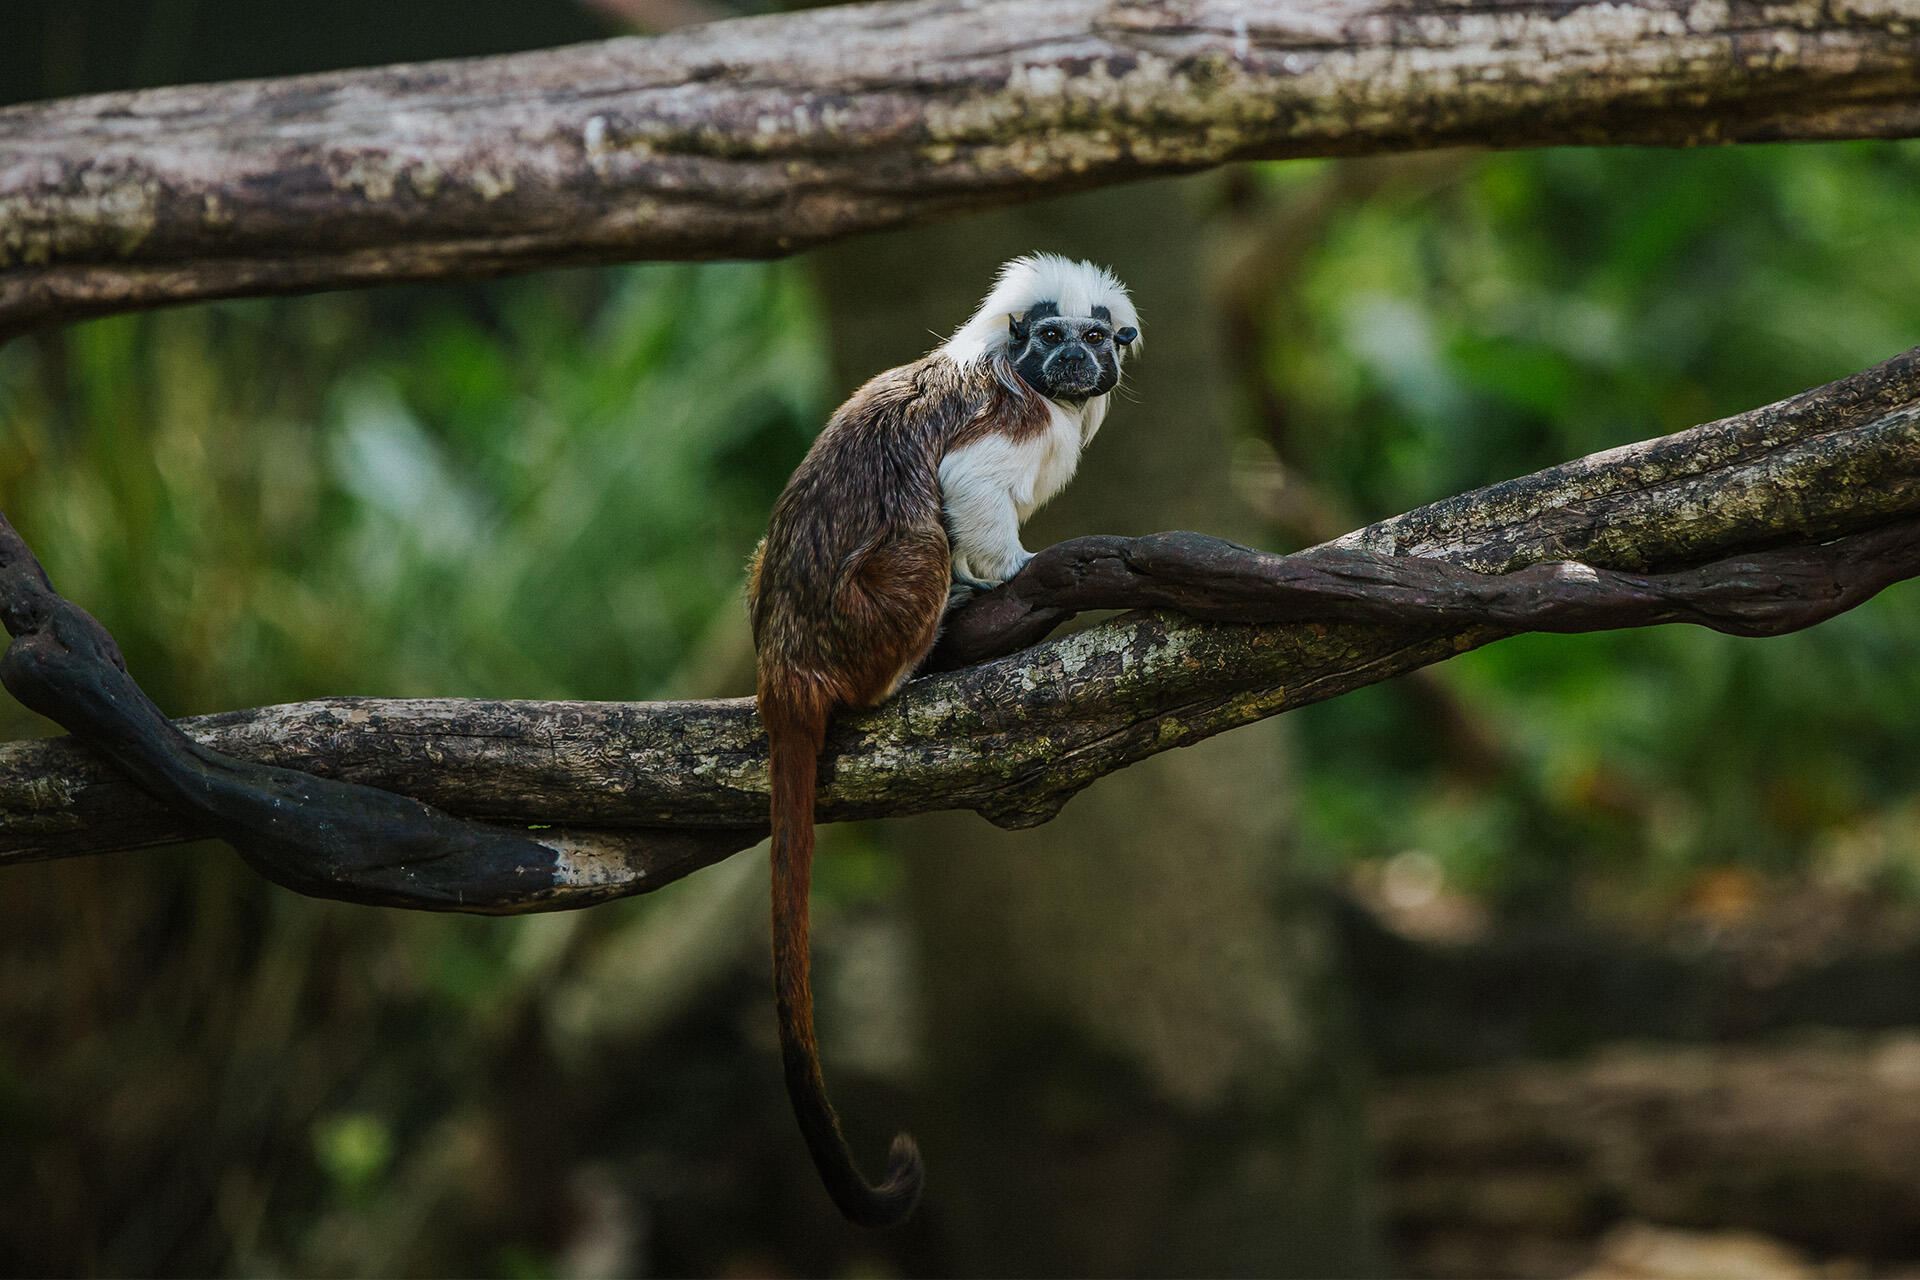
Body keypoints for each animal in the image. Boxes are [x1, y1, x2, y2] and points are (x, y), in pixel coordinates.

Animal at [748, 255, 1136, 1228]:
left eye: (1099, 337)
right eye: (1049, 336)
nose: (1076, 359)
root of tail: (786, 664)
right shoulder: (1013, 421)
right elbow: (965, 486)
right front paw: (1005, 576)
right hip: (870, 618)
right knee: (922, 535)